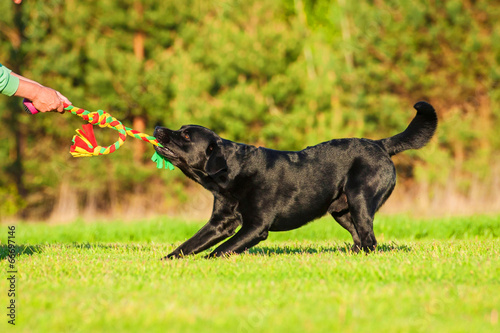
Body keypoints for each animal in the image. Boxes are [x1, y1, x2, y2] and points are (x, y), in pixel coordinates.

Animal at [153, 101, 438, 256]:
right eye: (180, 129)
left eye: (185, 135)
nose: (157, 128)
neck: (231, 174)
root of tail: (380, 144)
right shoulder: (219, 223)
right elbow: (189, 244)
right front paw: (167, 261)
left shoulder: (256, 226)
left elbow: (220, 250)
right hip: (342, 210)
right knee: (359, 238)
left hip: (360, 199)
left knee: (369, 239)